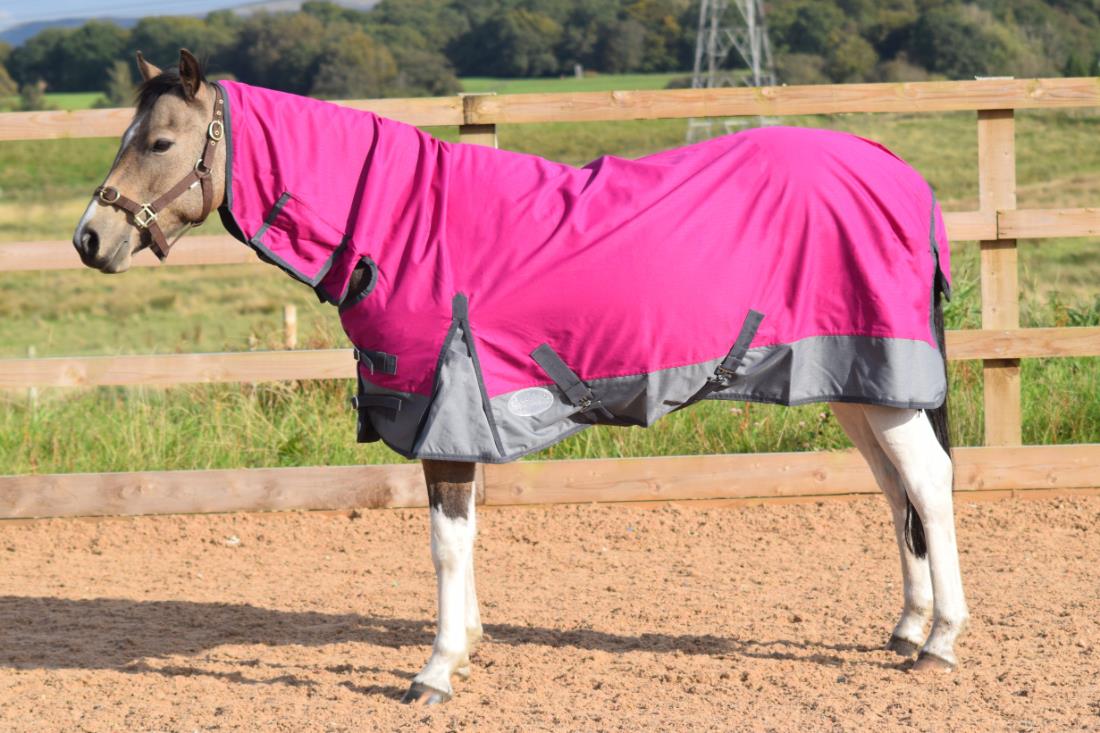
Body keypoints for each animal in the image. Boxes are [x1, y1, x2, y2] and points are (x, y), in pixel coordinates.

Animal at [71, 50, 967, 705]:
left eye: (159, 143)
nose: (88, 238)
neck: (402, 230)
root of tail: (901, 172)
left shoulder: (445, 409)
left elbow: (445, 542)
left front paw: (435, 671)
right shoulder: (448, 413)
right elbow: (461, 533)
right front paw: (465, 646)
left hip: (882, 382)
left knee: (928, 480)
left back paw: (942, 641)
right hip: (856, 379)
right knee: (895, 489)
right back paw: (908, 625)